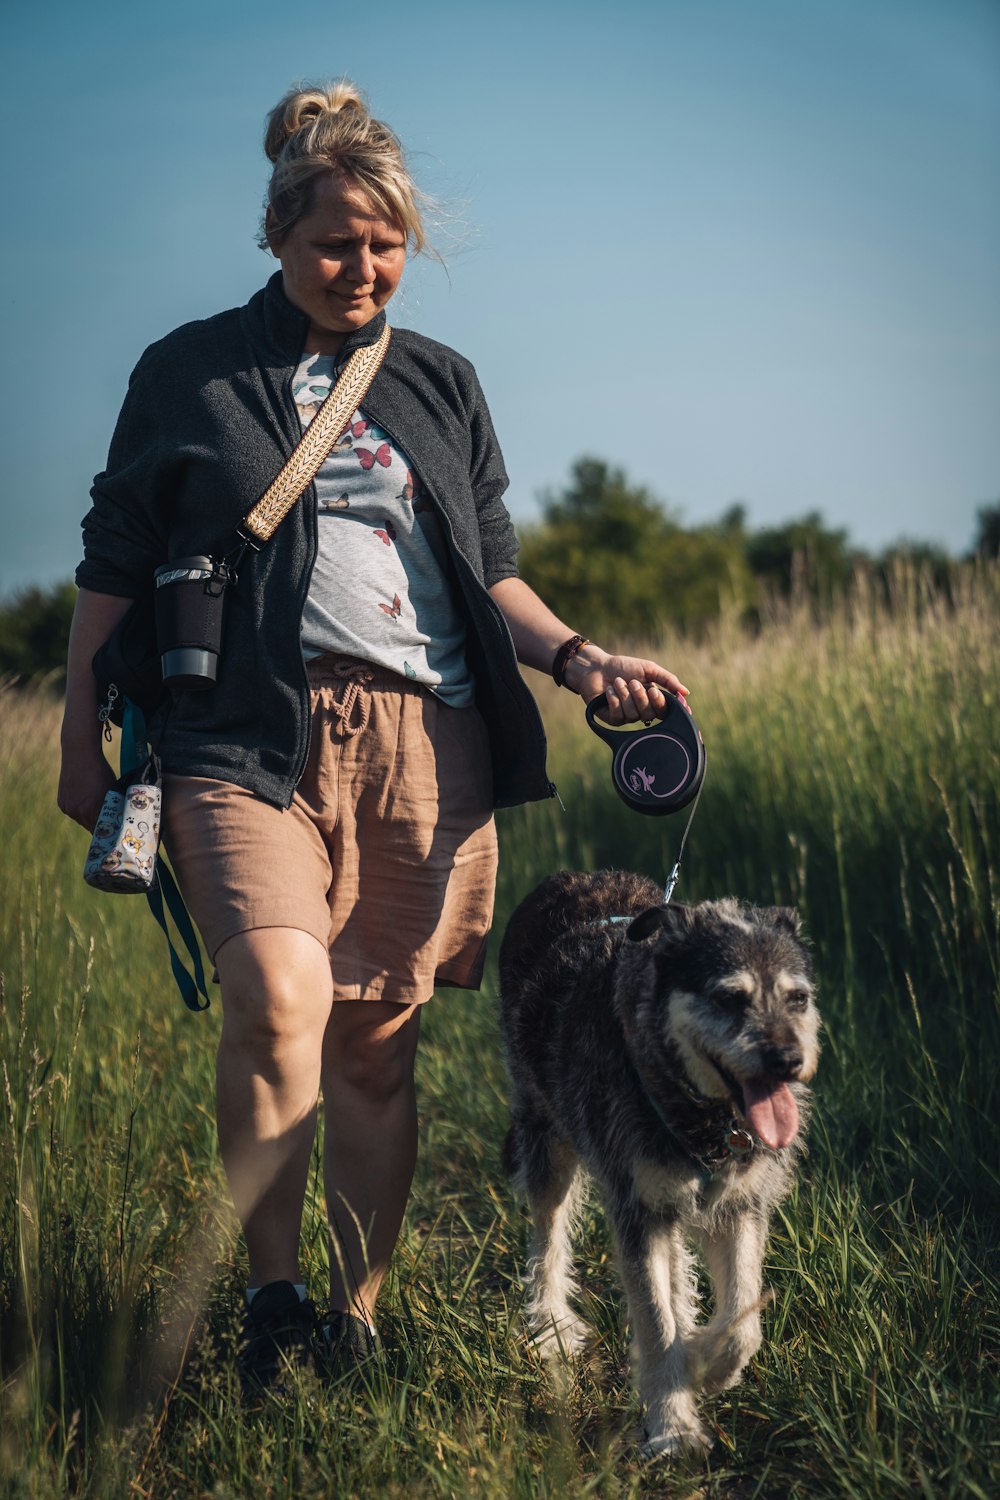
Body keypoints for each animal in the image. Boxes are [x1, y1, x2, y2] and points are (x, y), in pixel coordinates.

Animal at [500, 870, 821, 1452]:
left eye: (798, 997)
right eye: (729, 998)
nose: (788, 1061)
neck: (701, 1115)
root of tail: (574, 875)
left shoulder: (741, 1207)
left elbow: (742, 1321)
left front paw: (704, 1362)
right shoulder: (638, 1210)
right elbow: (654, 1322)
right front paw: (673, 1429)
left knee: (675, 1268)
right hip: (546, 1143)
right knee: (547, 1238)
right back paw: (551, 1323)